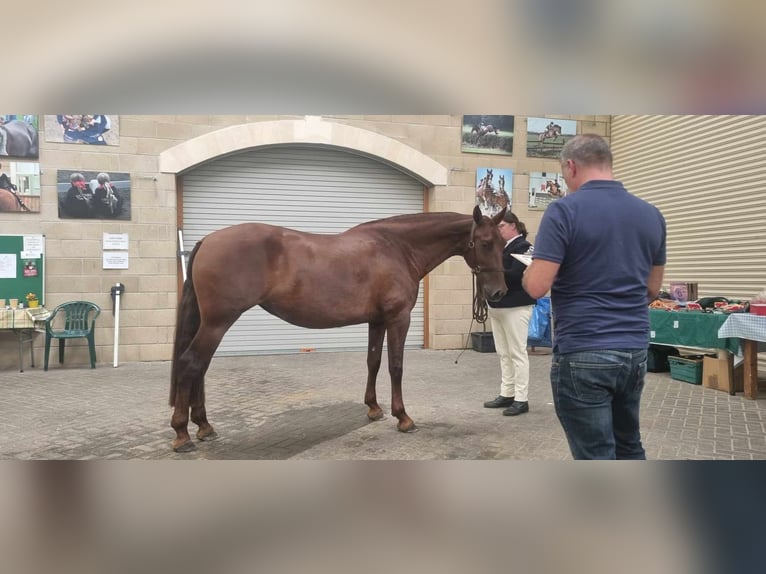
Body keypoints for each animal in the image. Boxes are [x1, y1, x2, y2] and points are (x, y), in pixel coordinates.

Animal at [169, 206, 508, 452]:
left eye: (504, 243)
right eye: (486, 243)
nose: (499, 292)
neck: (397, 249)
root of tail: (208, 240)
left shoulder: (377, 320)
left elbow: (373, 361)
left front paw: (374, 409)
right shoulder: (398, 318)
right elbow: (395, 366)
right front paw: (403, 417)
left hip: (212, 323)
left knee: (199, 368)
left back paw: (203, 426)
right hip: (218, 323)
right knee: (191, 364)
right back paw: (182, 434)